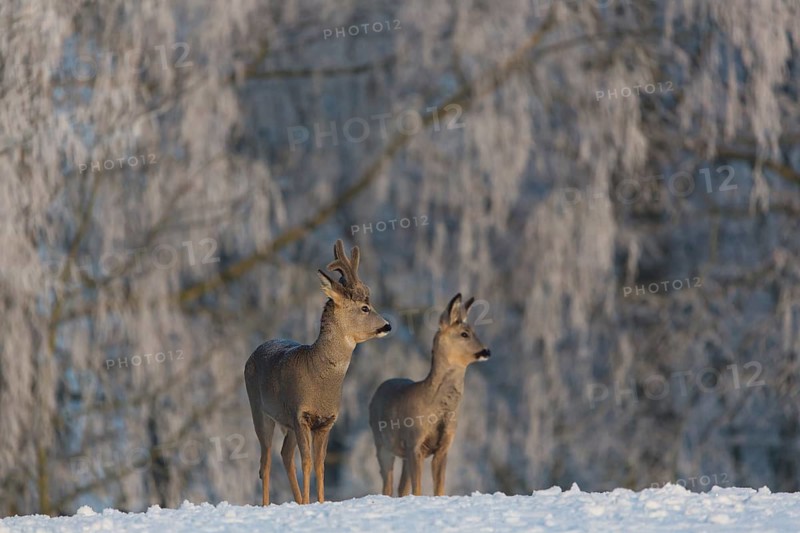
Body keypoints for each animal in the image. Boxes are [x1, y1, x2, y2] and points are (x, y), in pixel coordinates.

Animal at [244, 239, 391, 505]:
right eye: (365, 307)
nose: (388, 325)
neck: (319, 376)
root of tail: (256, 349)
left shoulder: (326, 421)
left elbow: (320, 465)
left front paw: (320, 503)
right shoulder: (300, 414)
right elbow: (307, 462)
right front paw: (309, 502)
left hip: (286, 422)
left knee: (284, 454)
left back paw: (298, 500)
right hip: (259, 409)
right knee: (266, 460)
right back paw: (266, 504)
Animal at [368, 293, 490, 497]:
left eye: (475, 331)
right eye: (464, 333)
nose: (486, 351)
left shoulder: (444, 446)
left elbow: (439, 488)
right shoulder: (414, 442)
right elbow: (417, 489)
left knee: (401, 487)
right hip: (381, 444)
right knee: (387, 485)